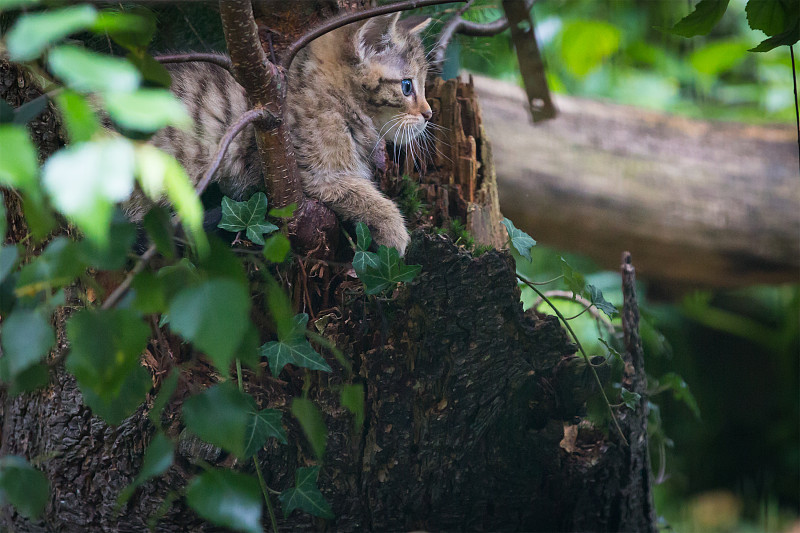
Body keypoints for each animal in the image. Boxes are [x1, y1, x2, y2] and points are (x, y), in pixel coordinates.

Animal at [143, 12, 432, 254]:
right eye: (407, 86)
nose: (429, 114)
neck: (335, 98)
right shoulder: (310, 175)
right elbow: (361, 193)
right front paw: (394, 230)